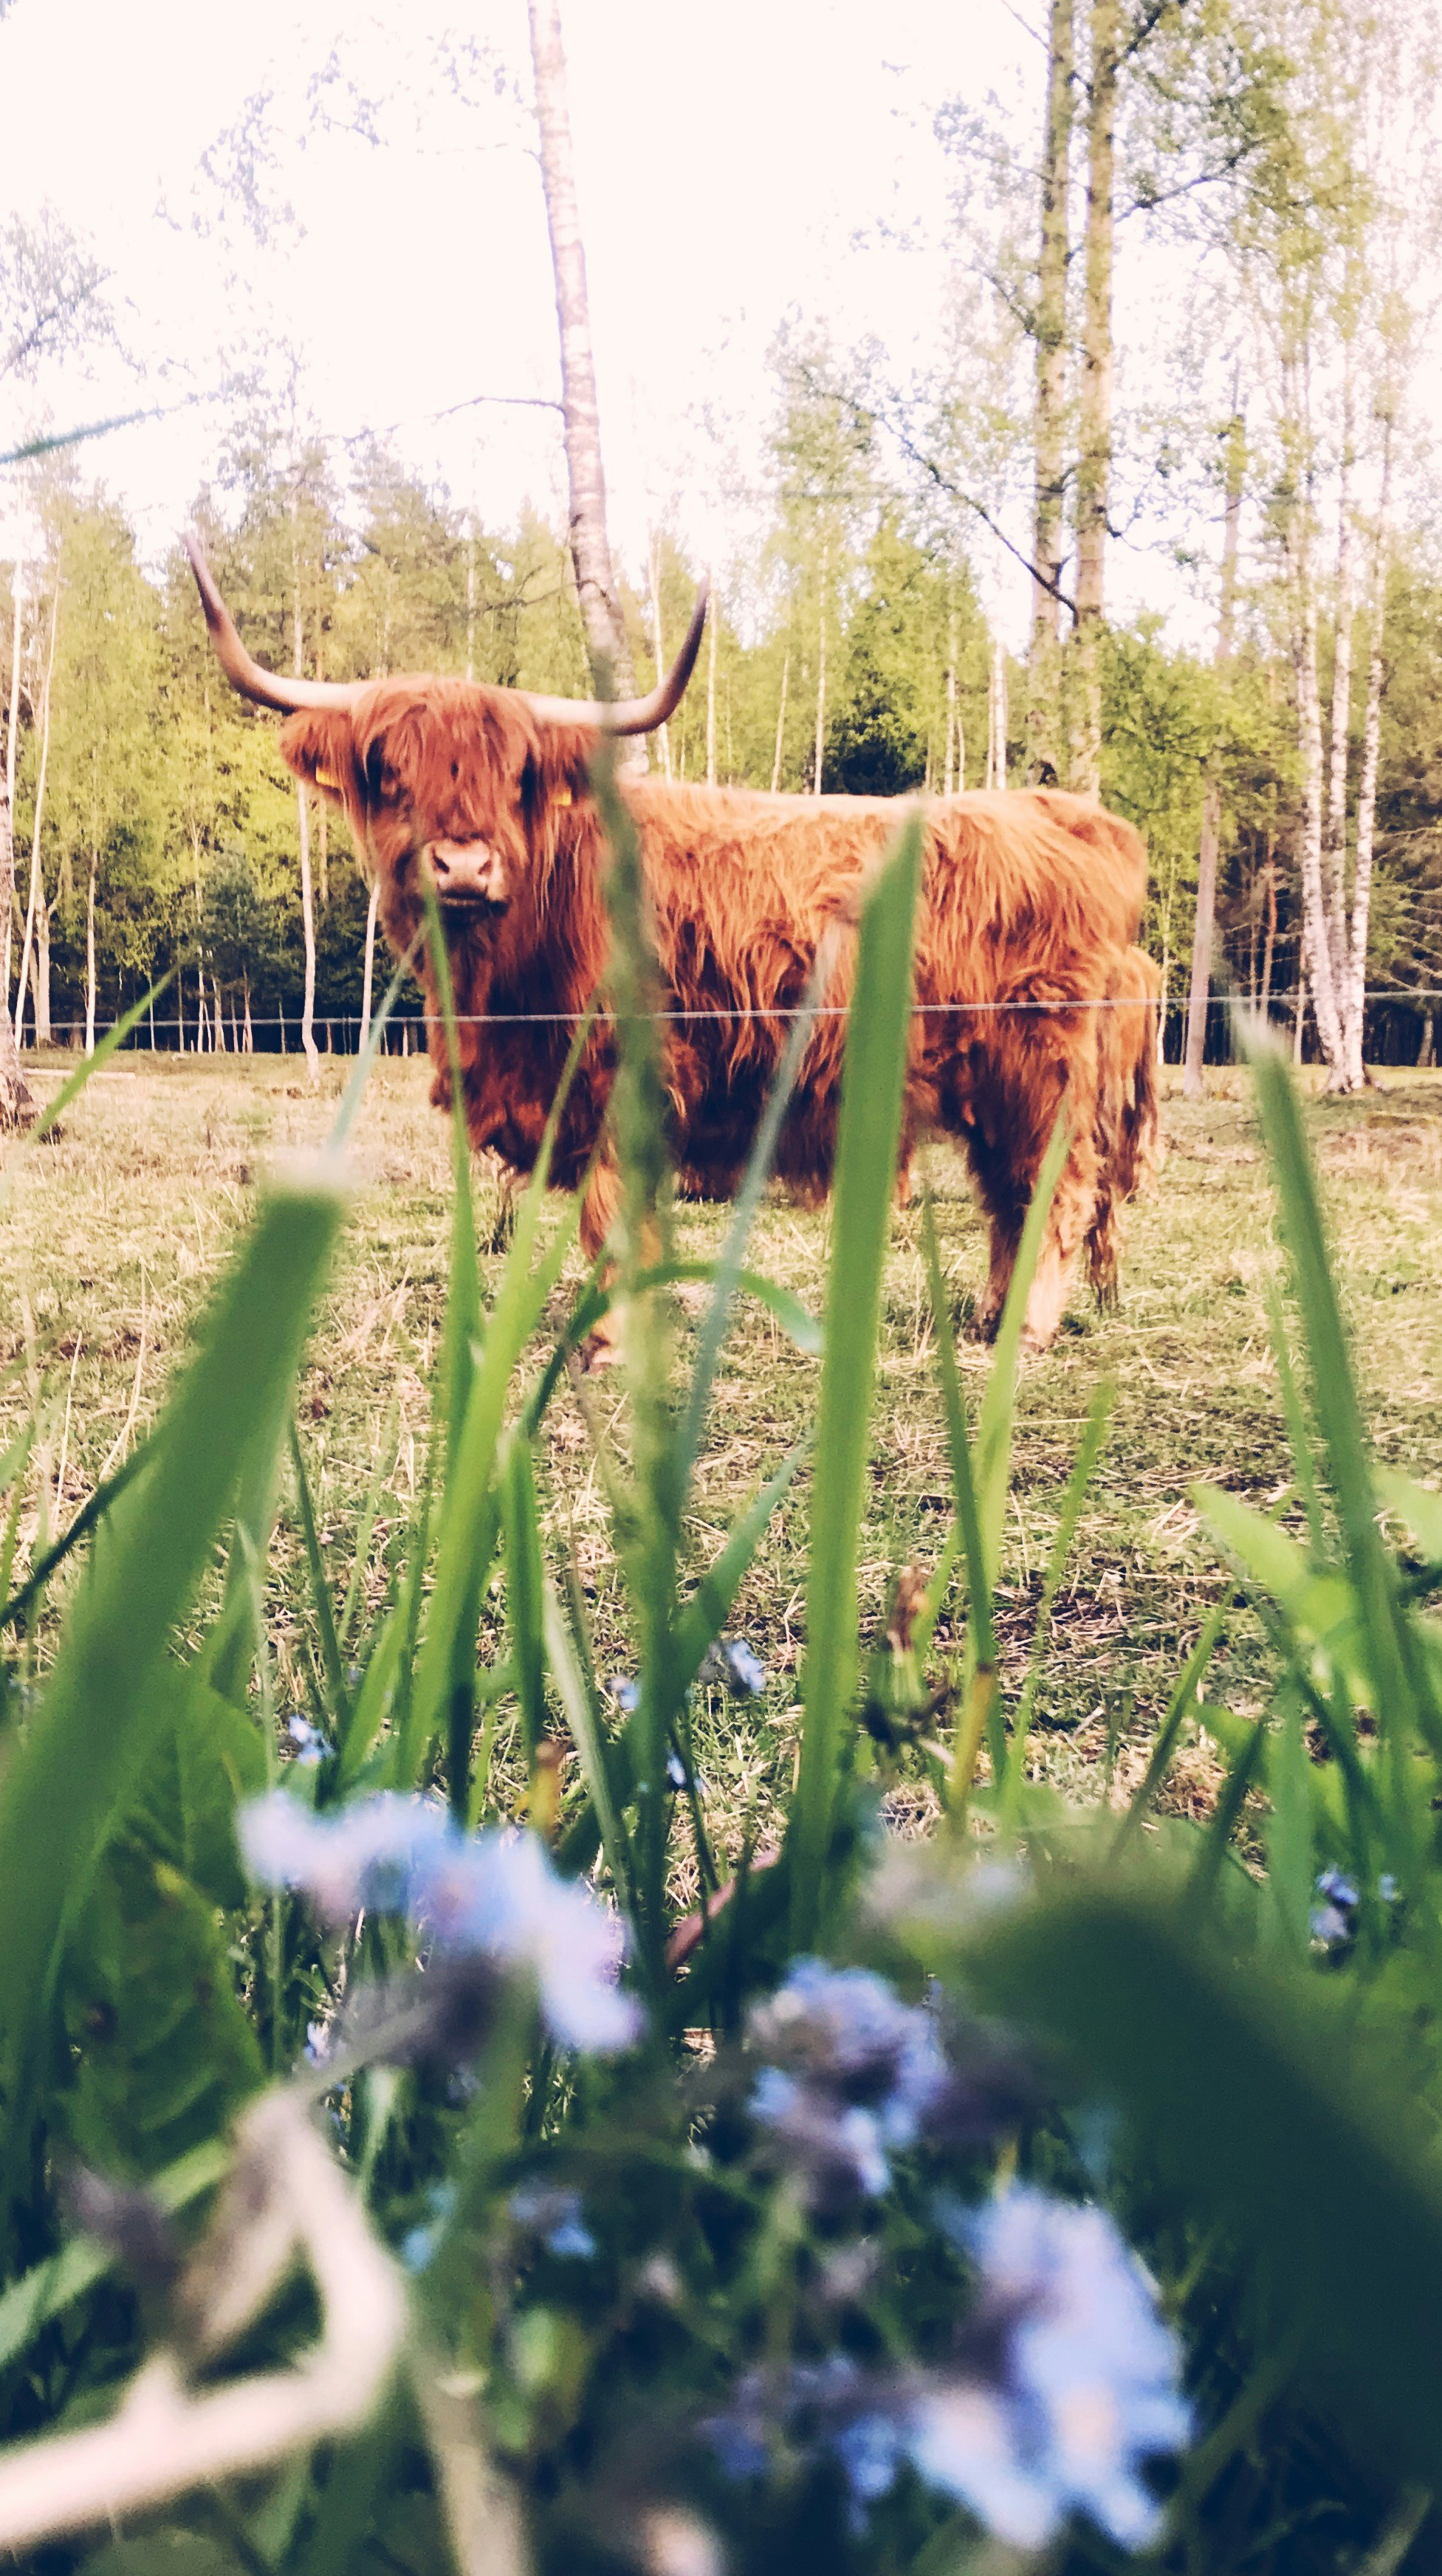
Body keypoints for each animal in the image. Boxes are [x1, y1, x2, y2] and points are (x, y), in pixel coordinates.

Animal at [185, 539, 1149, 1351]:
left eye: (516, 776)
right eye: (390, 772)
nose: (462, 864)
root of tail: (1068, 816)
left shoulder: (622, 1076)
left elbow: (613, 1216)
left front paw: (612, 1341)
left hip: (1041, 1067)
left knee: (1053, 1189)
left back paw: (1024, 1331)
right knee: (1008, 1197)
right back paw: (989, 1318)